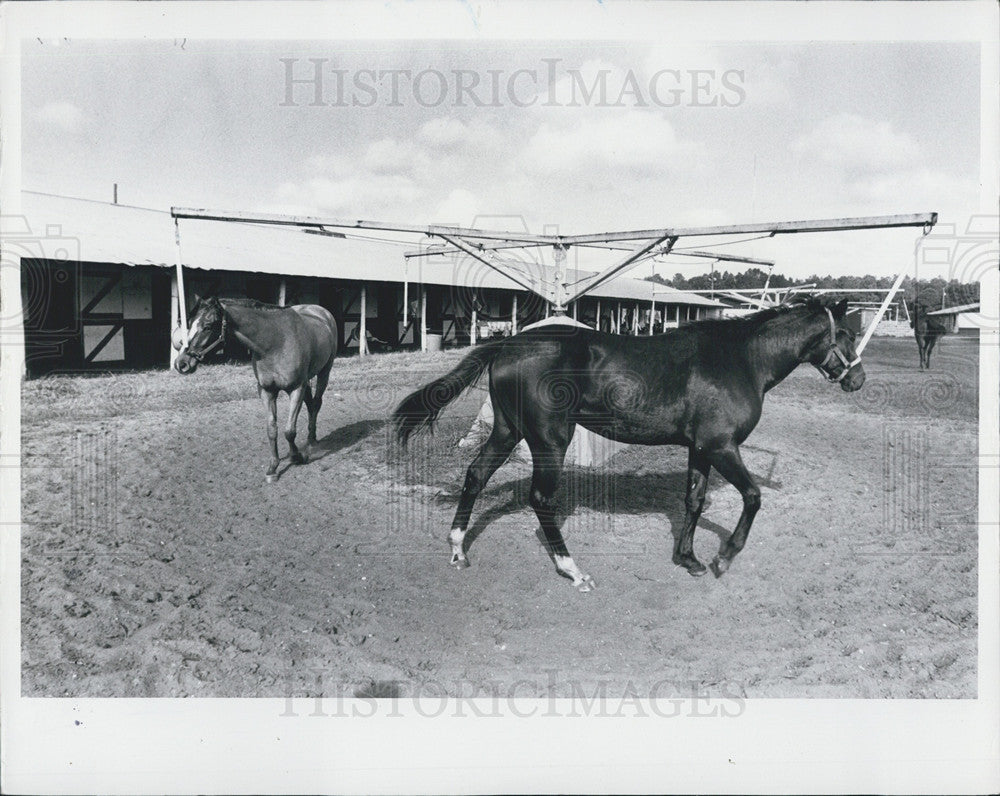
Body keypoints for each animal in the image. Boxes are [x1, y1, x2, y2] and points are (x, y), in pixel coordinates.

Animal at [174, 292, 338, 478]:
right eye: (189, 324)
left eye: (208, 326)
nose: (181, 363)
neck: (275, 343)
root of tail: (322, 312)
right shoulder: (267, 391)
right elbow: (271, 429)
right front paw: (273, 467)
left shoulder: (296, 389)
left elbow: (289, 431)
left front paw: (296, 457)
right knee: (310, 405)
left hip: (324, 372)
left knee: (316, 403)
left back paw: (311, 441)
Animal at [394, 298, 864, 592]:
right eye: (843, 332)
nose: (858, 379)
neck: (739, 360)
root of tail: (509, 342)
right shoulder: (721, 446)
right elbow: (752, 496)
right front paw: (724, 557)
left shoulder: (699, 448)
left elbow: (693, 500)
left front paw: (689, 559)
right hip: (550, 438)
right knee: (540, 497)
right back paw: (574, 571)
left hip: (509, 430)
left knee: (475, 474)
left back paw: (458, 549)